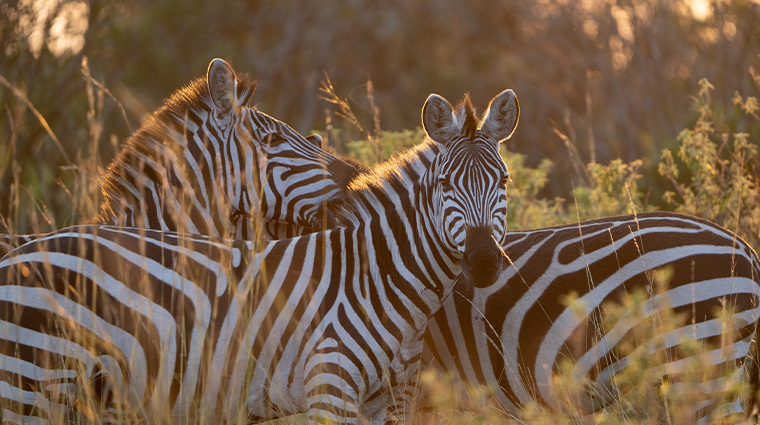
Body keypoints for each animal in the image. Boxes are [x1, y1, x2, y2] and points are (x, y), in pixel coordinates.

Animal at [0, 88, 520, 424]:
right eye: (445, 185)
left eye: (504, 181)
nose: (483, 262)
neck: (375, 273)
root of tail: (20, 252)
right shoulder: (330, 387)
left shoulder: (380, 401)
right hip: (31, 384)